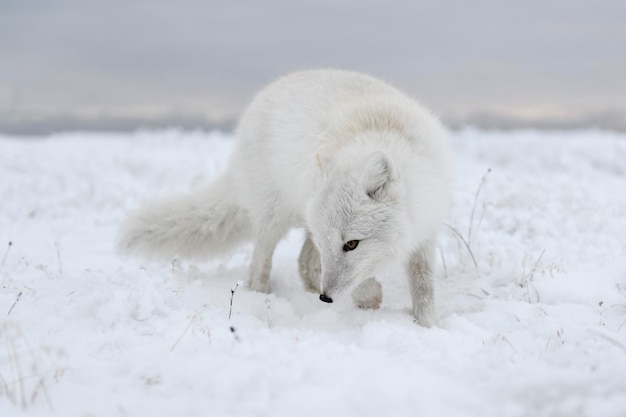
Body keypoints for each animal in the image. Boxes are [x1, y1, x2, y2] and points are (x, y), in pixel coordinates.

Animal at [118, 69, 448, 324]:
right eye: (336, 244)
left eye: (352, 244)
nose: (325, 298)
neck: (377, 130)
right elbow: (357, 279)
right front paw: (368, 296)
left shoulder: (426, 231)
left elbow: (424, 288)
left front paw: (429, 326)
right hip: (274, 217)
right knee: (260, 267)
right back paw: (264, 299)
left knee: (304, 263)